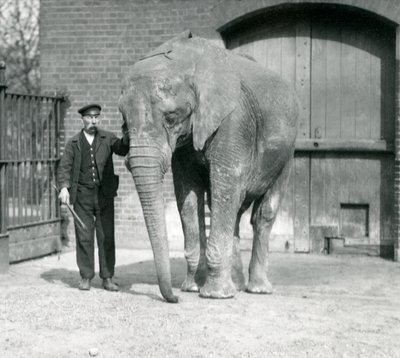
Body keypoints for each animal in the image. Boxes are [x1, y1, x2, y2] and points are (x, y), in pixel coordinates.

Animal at [120, 30, 298, 302]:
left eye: (171, 116)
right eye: (124, 121)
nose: (175, 299)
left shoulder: (233, 120)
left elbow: (226, 183)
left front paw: (214, 295)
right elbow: (188, 194)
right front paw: (192, 288)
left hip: (287, 152)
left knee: (262, 213)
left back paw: (257, 289)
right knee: (231, 208)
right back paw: (236, 285)